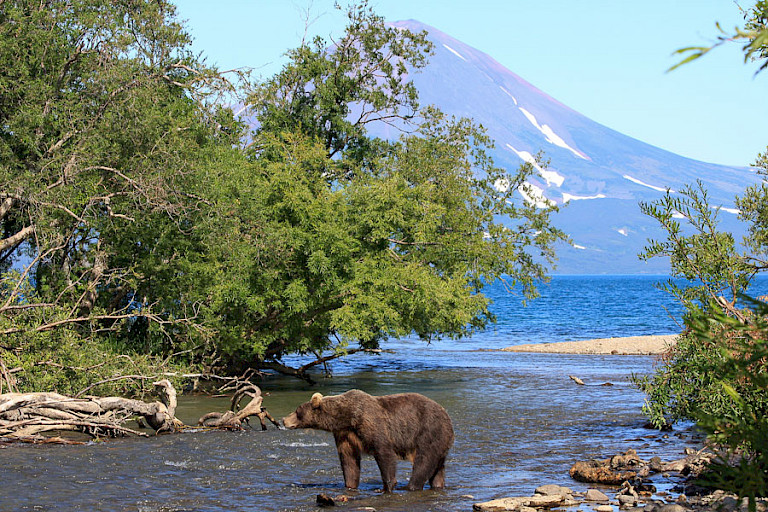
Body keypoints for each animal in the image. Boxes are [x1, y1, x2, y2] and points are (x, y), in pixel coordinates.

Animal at [282, 390, 452, 494]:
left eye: (297, 411)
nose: (283, 420)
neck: (346, 417)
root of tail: (446, 414)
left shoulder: (371, 423)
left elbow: (384, 452)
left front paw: (386, 487)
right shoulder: (345, 435)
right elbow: (349, 460)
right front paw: (350, 486)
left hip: (428, 431)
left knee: (424, 460)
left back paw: (410, 486)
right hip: (440, 441)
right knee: (437, 468)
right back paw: (438, 485)